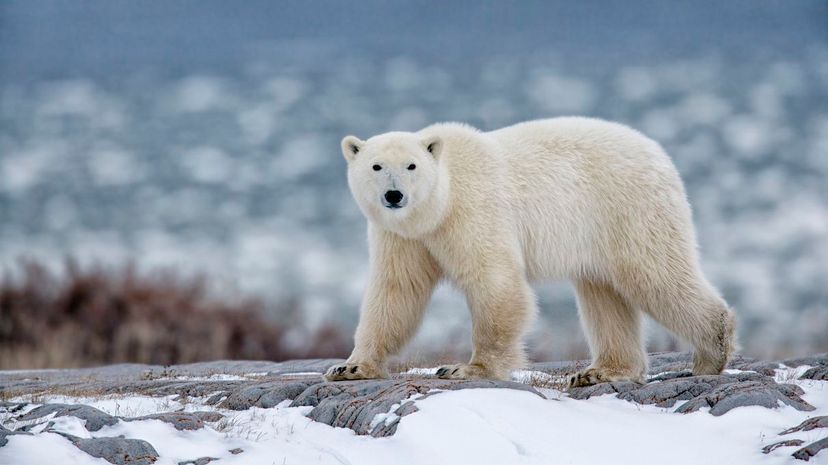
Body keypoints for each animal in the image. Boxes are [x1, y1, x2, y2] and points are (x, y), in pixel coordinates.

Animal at [326, 118, 736, 386]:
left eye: (411, 166)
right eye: (376, 166)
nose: (394, 195)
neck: (439, 204)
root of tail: (659, 154)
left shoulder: (473, 211)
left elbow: (495, 282)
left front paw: (466, 369)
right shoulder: (402, 236)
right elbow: (396, 291)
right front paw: (350, 367)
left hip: (628, 208)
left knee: (656, 274)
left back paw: (711, 352)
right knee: (604, 294)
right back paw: (600, 371)